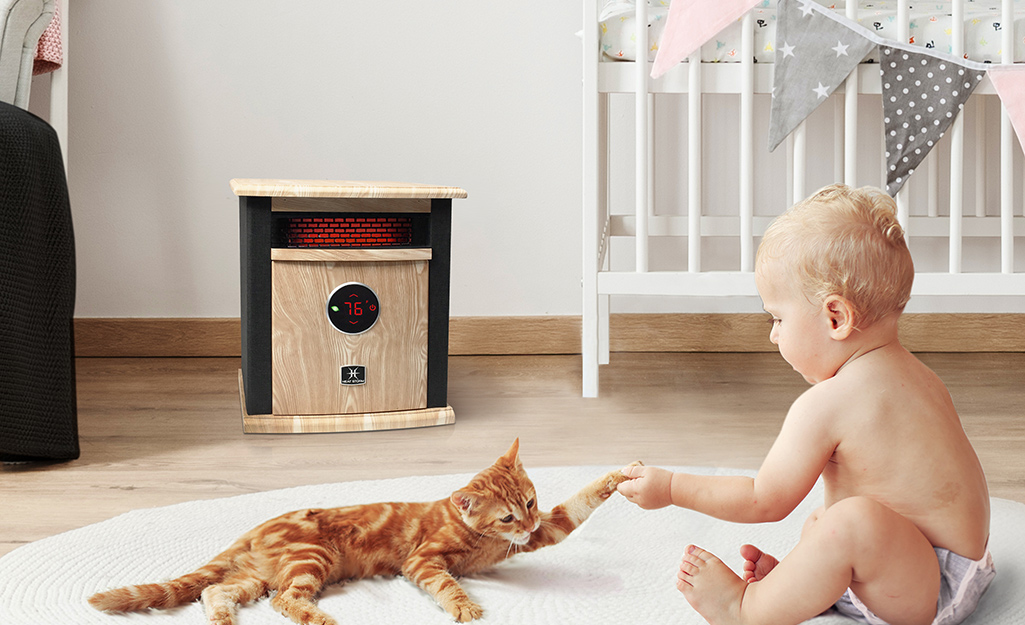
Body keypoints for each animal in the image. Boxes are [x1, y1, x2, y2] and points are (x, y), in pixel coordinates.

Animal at [88, 438, 635, 622]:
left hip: (253, 578)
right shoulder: (422, 561)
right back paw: (319, 618)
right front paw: (464, 606)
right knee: (285, 601)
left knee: (215, 592)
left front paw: (622, 475)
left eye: (531, 502)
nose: (525, 523)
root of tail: (258, 527)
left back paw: (224, 620)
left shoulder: (547, 529)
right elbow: (447, 584)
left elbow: (582, 502)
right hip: (310, 560)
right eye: (506, 516)